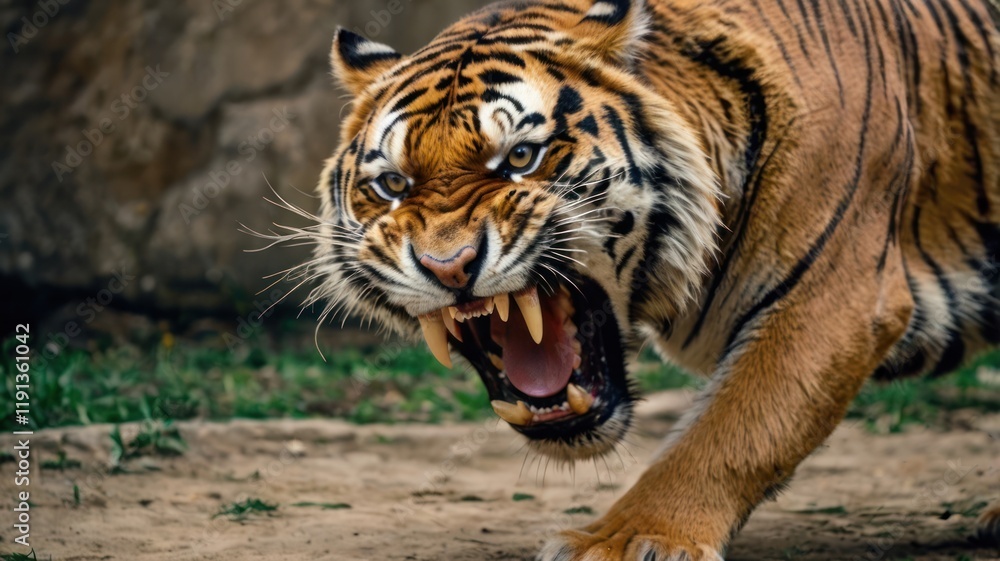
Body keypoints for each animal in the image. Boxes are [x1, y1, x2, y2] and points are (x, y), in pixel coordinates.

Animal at [304, 0, 1000, 558]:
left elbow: (735, 429)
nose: (448, 265)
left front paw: (628, 540)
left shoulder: (835, 297)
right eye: (393, 185)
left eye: (521, 158)